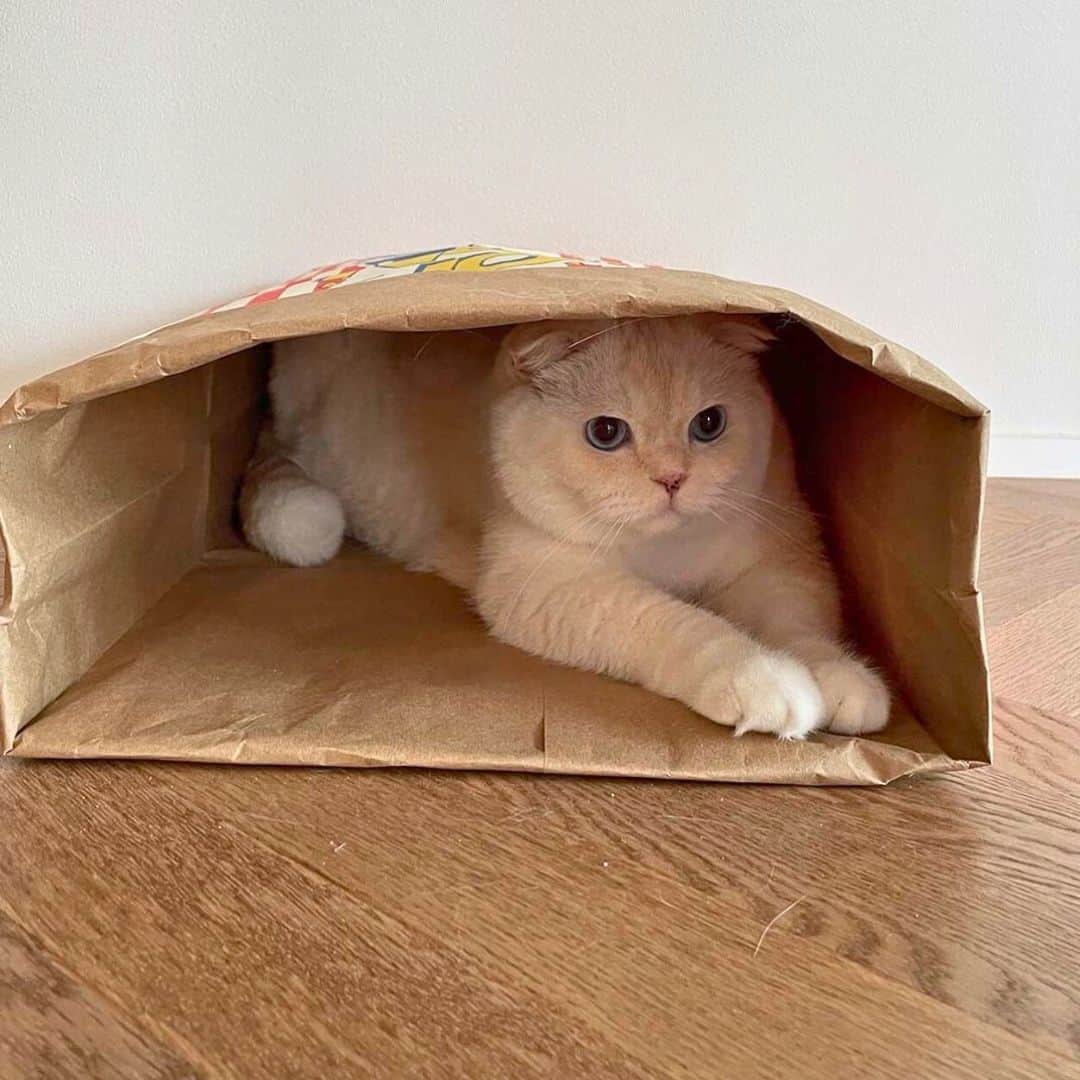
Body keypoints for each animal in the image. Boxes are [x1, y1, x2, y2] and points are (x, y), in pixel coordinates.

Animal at [243, 315, 885, 743]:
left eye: (709, 424)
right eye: (605, 433)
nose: (672, 480)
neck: (664, 551)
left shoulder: (776, 560)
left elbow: (798, 625)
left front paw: (843, 680)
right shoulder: (555, 583)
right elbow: (685, 626)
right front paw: (763, 680)